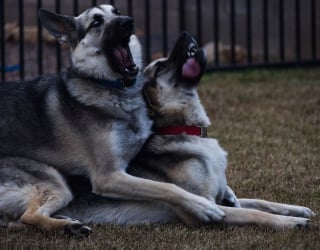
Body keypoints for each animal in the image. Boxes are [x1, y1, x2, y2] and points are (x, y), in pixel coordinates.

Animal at [0, 5, 230, 236]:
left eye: (116, 11)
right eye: (96, 22)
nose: (128, 20)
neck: (117, 91)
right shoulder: (109, 176)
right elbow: (166, 187)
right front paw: (203, 206)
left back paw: (68, 224)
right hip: (57, 183)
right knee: (29, 216)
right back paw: (68, 226)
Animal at [58, 31, 316, 229]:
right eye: (161, 65)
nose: (185, 33)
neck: (188, 130)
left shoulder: (221, 198)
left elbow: (258, 201)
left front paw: (296, 210)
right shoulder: (203, 207)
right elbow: (254, 212)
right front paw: (290, 222)